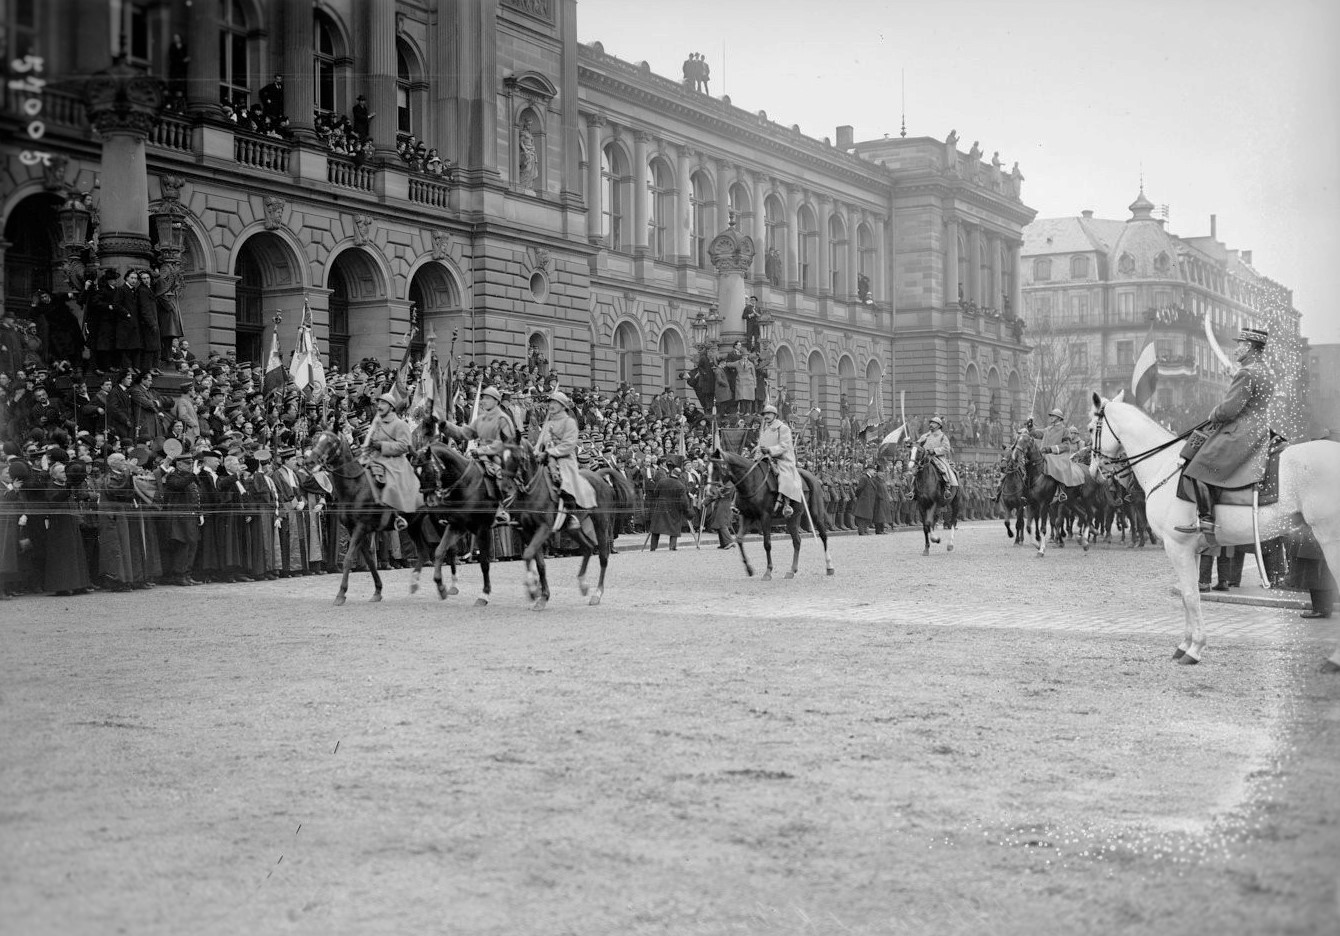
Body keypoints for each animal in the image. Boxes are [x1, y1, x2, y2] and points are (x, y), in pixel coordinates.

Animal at [306, 431, 436, 607]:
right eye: (314, 440)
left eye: (330, 442)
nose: (309, 461)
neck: (356, 486)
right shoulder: (354, 530)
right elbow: (369, 559)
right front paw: (377, 591)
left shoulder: (360, 528)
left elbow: (348, 559)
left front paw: (341, 594)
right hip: (414, 525)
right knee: (423, 552)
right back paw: (415, 584)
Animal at [501, 441, 635, 610]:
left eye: (515, 457)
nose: (505, 487)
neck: (532, 491)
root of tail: (598, 476)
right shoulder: (527, 532)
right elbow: (537, 562)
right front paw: (541, 595)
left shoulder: (544, 528)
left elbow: (529, 555)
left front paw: (533, 589)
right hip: (572, 528)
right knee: (588, 547)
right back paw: (583, 584)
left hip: (601, 523)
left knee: (603, 556)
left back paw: (597, 594)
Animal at [1088, 388, 1340, 666]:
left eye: (1090, 429)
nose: (1093, 472)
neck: (1163, 465)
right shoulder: (1191, 549)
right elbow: (1190, 596)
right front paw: (1185, 644)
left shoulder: (1177, 547)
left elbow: (1190, 595)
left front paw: (1194, 648)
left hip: (1330, 539)